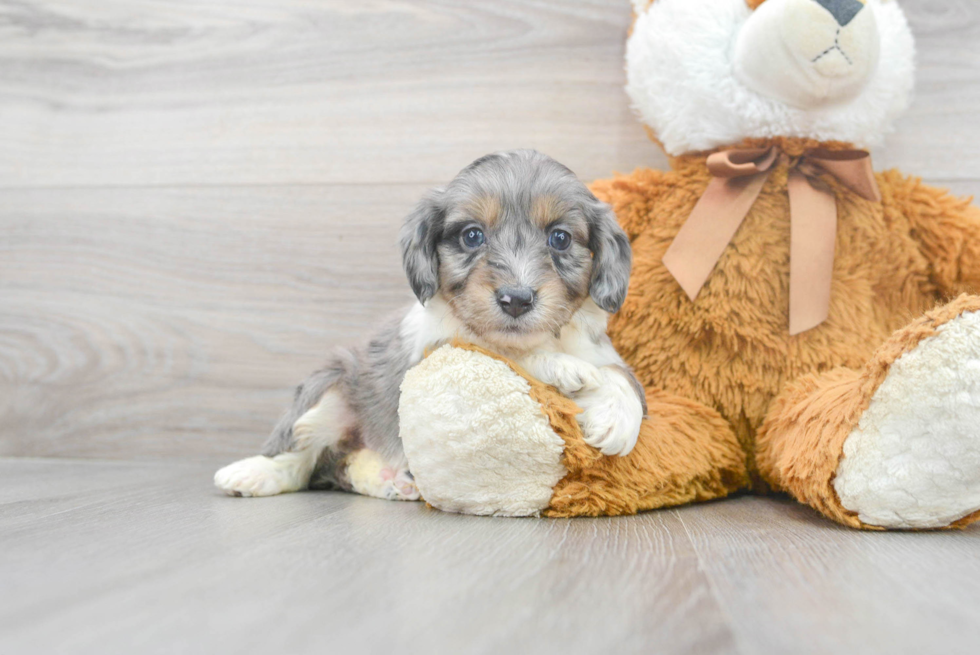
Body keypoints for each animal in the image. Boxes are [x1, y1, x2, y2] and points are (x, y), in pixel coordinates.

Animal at [213, 151, 644, 500]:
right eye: (472, 235)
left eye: (560, 239)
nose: (516, 300)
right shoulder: (440, 344)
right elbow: (502, 351)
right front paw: (562, 367)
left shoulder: (601, 349)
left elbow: (622, 376)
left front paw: (617, 417)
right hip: (329, 391)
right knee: (302, 455)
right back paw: (253, 473)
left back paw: (394, 482)